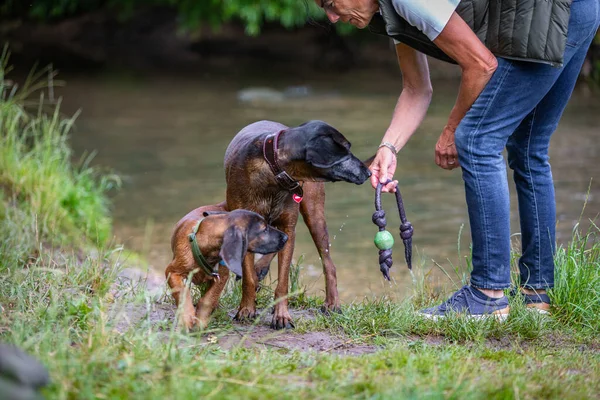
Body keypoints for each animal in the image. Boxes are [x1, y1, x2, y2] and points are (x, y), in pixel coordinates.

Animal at [225, 120, 370, 330]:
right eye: (345, 149)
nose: (368, 172)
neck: (274, 170)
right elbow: (248, 276)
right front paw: (246, 309)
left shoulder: (288, 227)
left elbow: (283, 281)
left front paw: (282, 316)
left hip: (314, 216)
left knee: (329, 264)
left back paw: (332, 303)